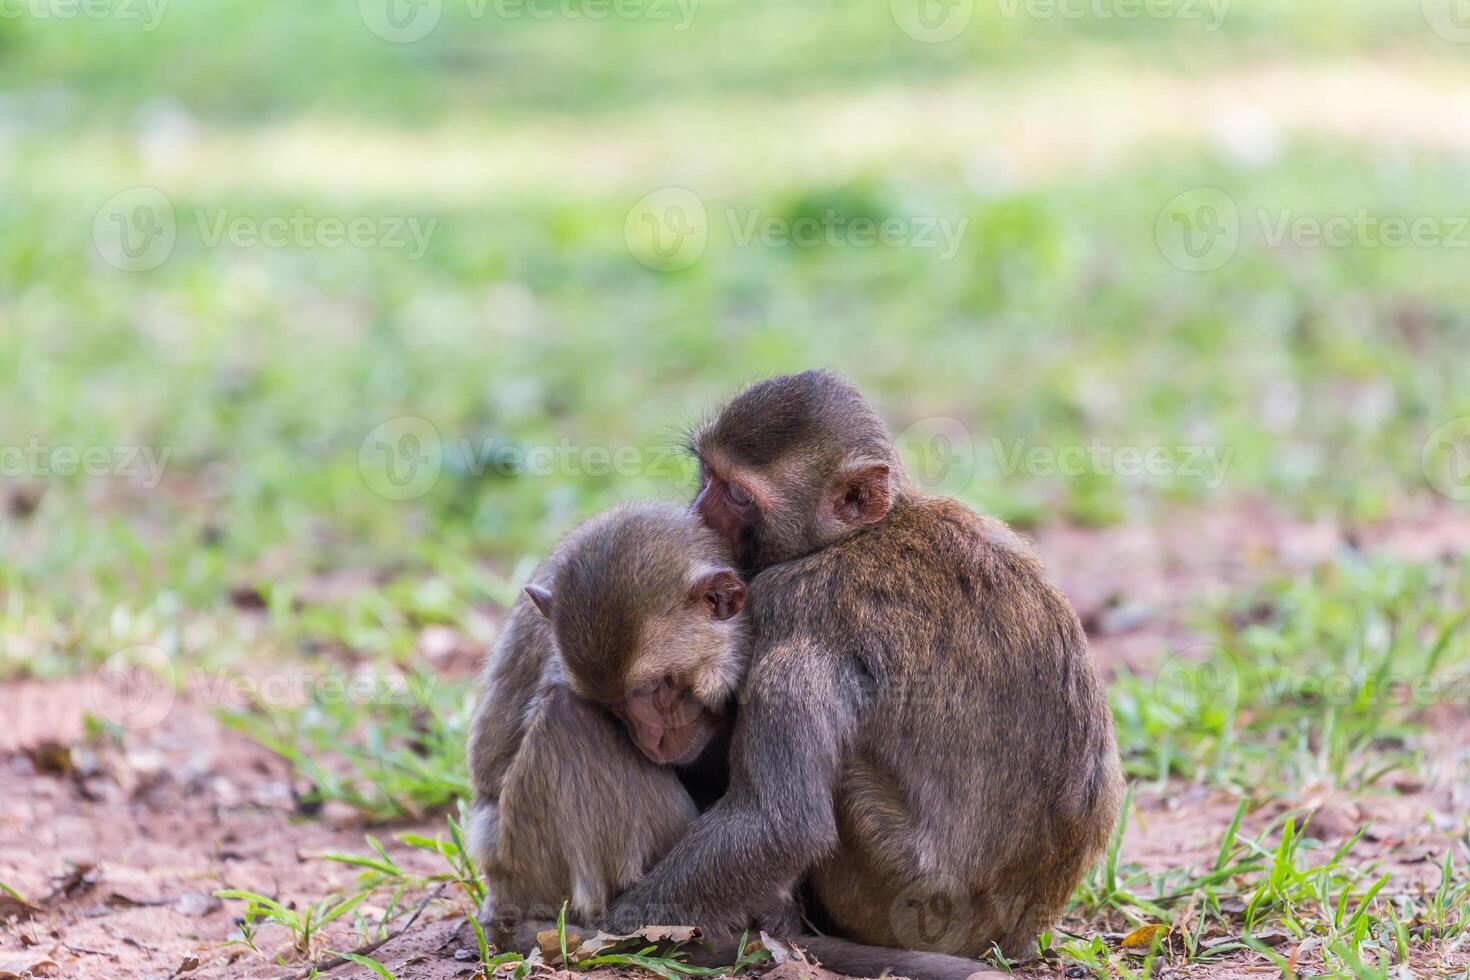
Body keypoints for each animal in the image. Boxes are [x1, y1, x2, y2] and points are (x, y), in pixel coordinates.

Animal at [608, 373, 1123, 963]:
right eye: (708, 475)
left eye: (736, 495)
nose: (696, 513)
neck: (866, 532)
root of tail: (1014, 934)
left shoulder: (789, 609)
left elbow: (777, 824)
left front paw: (614, 924)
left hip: (895, 893)